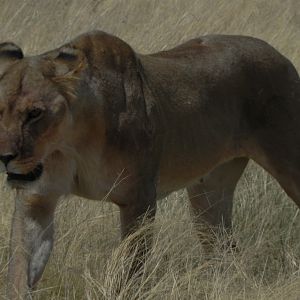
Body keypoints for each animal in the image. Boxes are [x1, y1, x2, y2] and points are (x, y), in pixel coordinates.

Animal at [0, 30, 298, 298]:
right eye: (0, 110)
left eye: (35, 113)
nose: (3, 157)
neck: (70, 143)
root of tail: (278, 55)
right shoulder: (35, 201)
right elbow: (20, 268)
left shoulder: (139, 198)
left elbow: (129, 268)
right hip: (208, 194)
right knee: (226, 250)